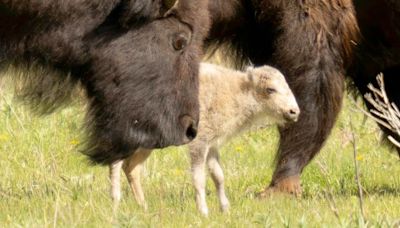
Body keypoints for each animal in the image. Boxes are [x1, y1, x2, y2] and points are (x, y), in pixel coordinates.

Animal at [108, 62, 298, 214]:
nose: (294, 111)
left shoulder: (212, 145)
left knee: (131, 167)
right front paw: (204, 211)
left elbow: (218, 176)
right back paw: (116, 202)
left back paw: (144, 207)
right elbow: (199, 178)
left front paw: (225, 209)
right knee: (117, 163)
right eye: (270, 89)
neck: (237, 91)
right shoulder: (199, 144)